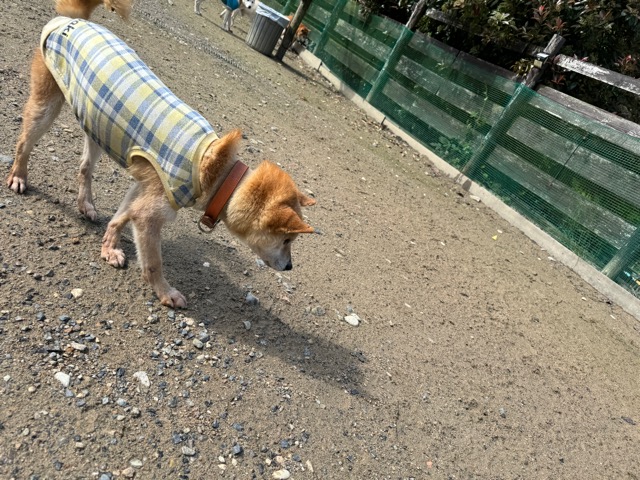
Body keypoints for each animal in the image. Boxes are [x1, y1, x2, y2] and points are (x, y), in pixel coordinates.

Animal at [7, 0, 317, 308]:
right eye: (287, 241)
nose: (290, 266)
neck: (218, 174)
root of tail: (76, 20)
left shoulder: (143, 191)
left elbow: (119, 218)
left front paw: (109, 249)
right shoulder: (150, 212)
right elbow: (153, 262)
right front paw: (165, 292)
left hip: (95, 125)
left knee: (84, 167)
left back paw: (86, 205)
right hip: (47, 106)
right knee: (24, 144)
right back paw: (19, 177)